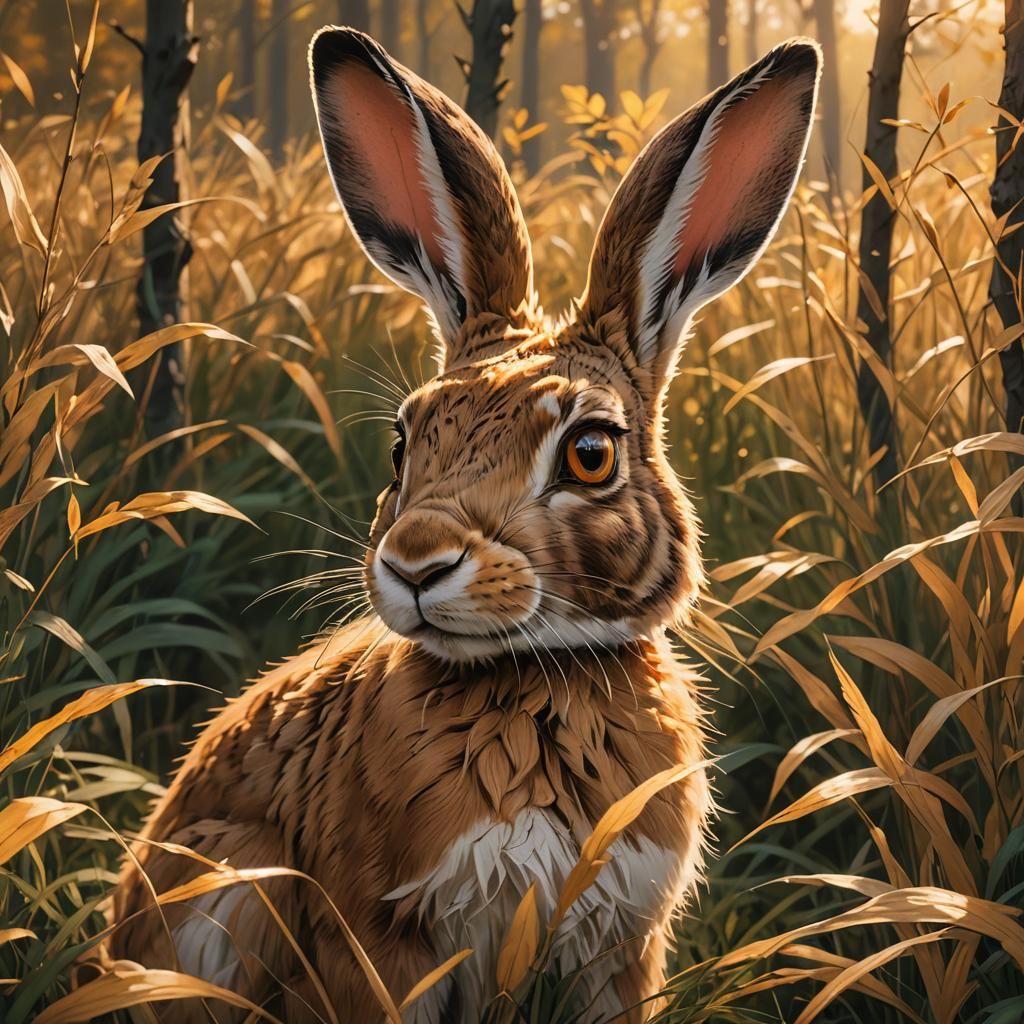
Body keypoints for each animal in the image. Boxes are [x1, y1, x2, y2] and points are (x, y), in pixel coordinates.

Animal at [108, 27, 820, 1024]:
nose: (413, 564)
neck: (533, 682)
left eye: (590, 453)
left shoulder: (623, 947)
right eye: (405, 441)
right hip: (228, 886)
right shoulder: (376, 936)